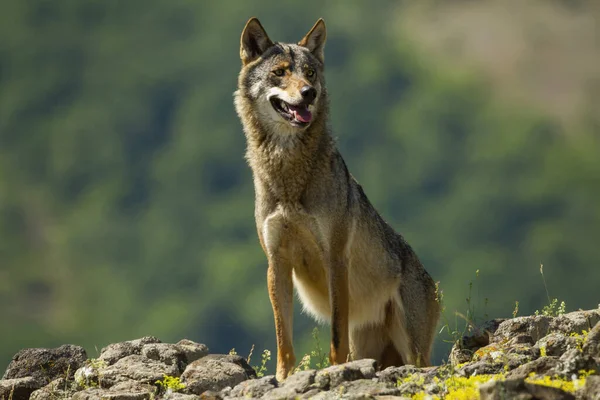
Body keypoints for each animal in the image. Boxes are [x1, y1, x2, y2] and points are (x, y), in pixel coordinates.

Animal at [234, 18, 440, 382]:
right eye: (280, 73)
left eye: (310, 73)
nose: (309, 93)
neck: (288, 177)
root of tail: (435, 288)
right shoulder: (276, 262)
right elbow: (283, 337)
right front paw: (283, 378)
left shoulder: (335, 258)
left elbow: (335, 336)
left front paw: (336, 371)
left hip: (413, 351)